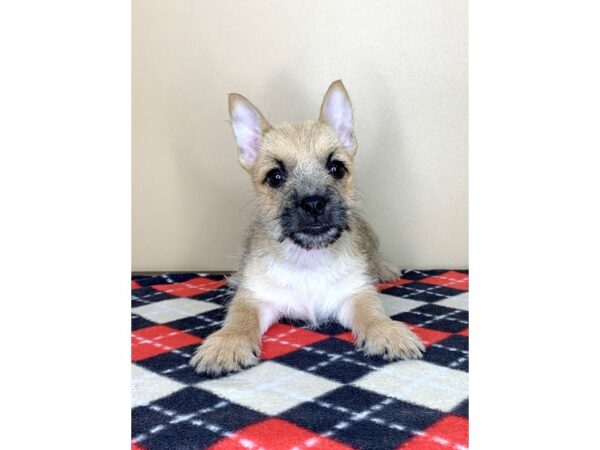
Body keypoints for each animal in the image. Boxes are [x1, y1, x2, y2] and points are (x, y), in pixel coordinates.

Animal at [190, 81, 424, 376]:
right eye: (275, 176)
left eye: (336, 168)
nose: (314, 203)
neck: (308, 258)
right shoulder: (254, 297)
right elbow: (240, 318)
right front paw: (227, 343)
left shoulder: (355, 293)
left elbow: (372, 312)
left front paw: (388, 331)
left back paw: (384, 268)